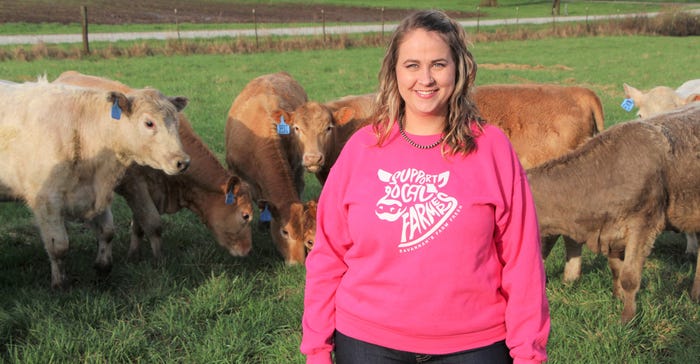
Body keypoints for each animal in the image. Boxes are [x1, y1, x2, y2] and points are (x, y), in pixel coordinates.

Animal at [0, 79, 190, 288]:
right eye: (149, 123)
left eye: (176, 122)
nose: (182, 162)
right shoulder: (46, 200)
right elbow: (59, 246)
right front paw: (60, 284)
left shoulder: (99, 193)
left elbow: (107, 232)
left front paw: (102, 268)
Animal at [52, 69, 254, 260]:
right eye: (245, 215)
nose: (247, 250)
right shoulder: (135, 187)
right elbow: (153, 223)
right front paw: (159, 260)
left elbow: (138, 226)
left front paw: (134, 255)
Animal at [528, 102, 700, 322]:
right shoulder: (611, 233)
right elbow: (616, 268)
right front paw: (617, 297)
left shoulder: (644, 225)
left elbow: (629, 276)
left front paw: (627, 317)